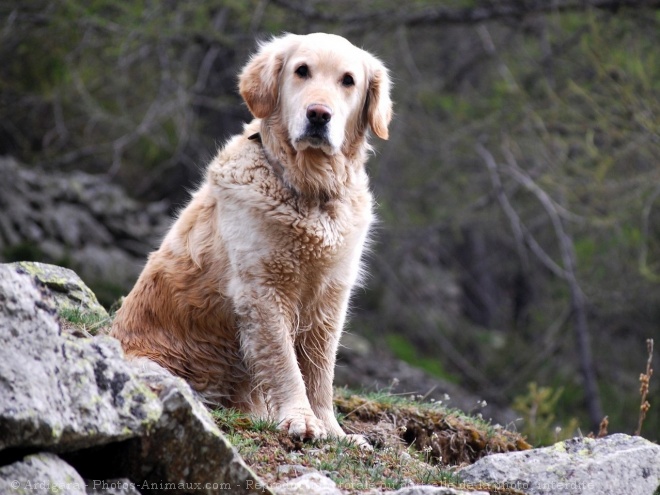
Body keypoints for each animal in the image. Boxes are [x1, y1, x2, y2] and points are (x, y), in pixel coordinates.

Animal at [111, 33, 392, 444]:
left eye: (348, 80)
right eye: (301, 71)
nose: (318, 115)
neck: (308, 190)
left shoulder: (331, 296)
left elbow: (321, 371)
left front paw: (333, 430)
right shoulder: (262, 291)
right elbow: (285, 362)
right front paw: (301, 419)